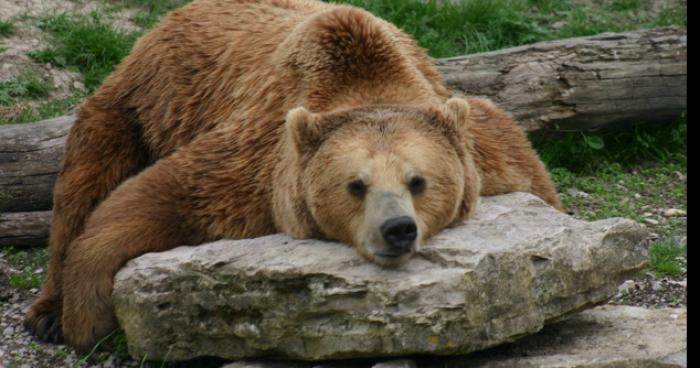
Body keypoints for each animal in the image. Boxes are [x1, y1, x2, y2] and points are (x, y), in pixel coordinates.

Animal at [24, 0, 564, 352]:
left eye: (418, 181)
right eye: (356, 185)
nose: (397, 229)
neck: (365, 80)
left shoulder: (483, 152)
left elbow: (532, 179)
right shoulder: (257, 167)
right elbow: (150, 200)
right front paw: (84, 317)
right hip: (137, 105)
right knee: (84, 181)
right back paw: (46, 313)